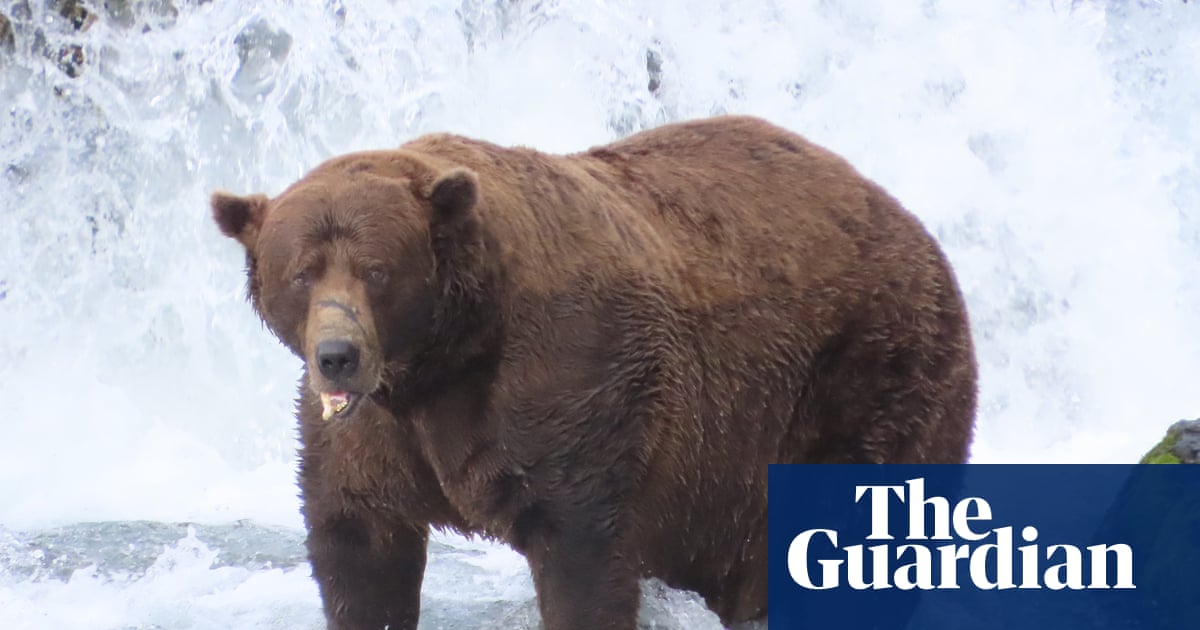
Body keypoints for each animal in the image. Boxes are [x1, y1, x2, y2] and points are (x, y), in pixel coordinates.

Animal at [210, 115, 977, 630]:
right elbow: (358, 544)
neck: (442, 361)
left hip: (857, 378)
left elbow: (581, 551)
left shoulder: (571, 385)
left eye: (376, 270)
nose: (338, 354)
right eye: (301, 271)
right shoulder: (371, 436)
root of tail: (911, 223)